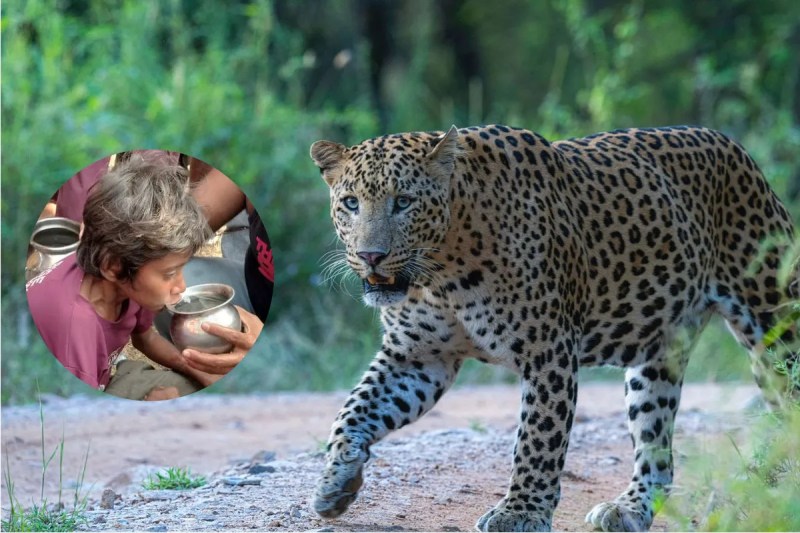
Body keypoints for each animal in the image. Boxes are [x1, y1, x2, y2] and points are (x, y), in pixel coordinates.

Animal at [309, 124, 799, 532]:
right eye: (351, 203)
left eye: (404, 202)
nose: (371, 256)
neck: (442, 273)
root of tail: (733, 145)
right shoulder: (418, 357)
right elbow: (354, 409)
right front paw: (336, 479)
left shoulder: (548, 352)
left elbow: (538, 437)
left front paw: (520, 512)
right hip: (658, 356)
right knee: (657, 448)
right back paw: (629, 508)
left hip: (774, 326)